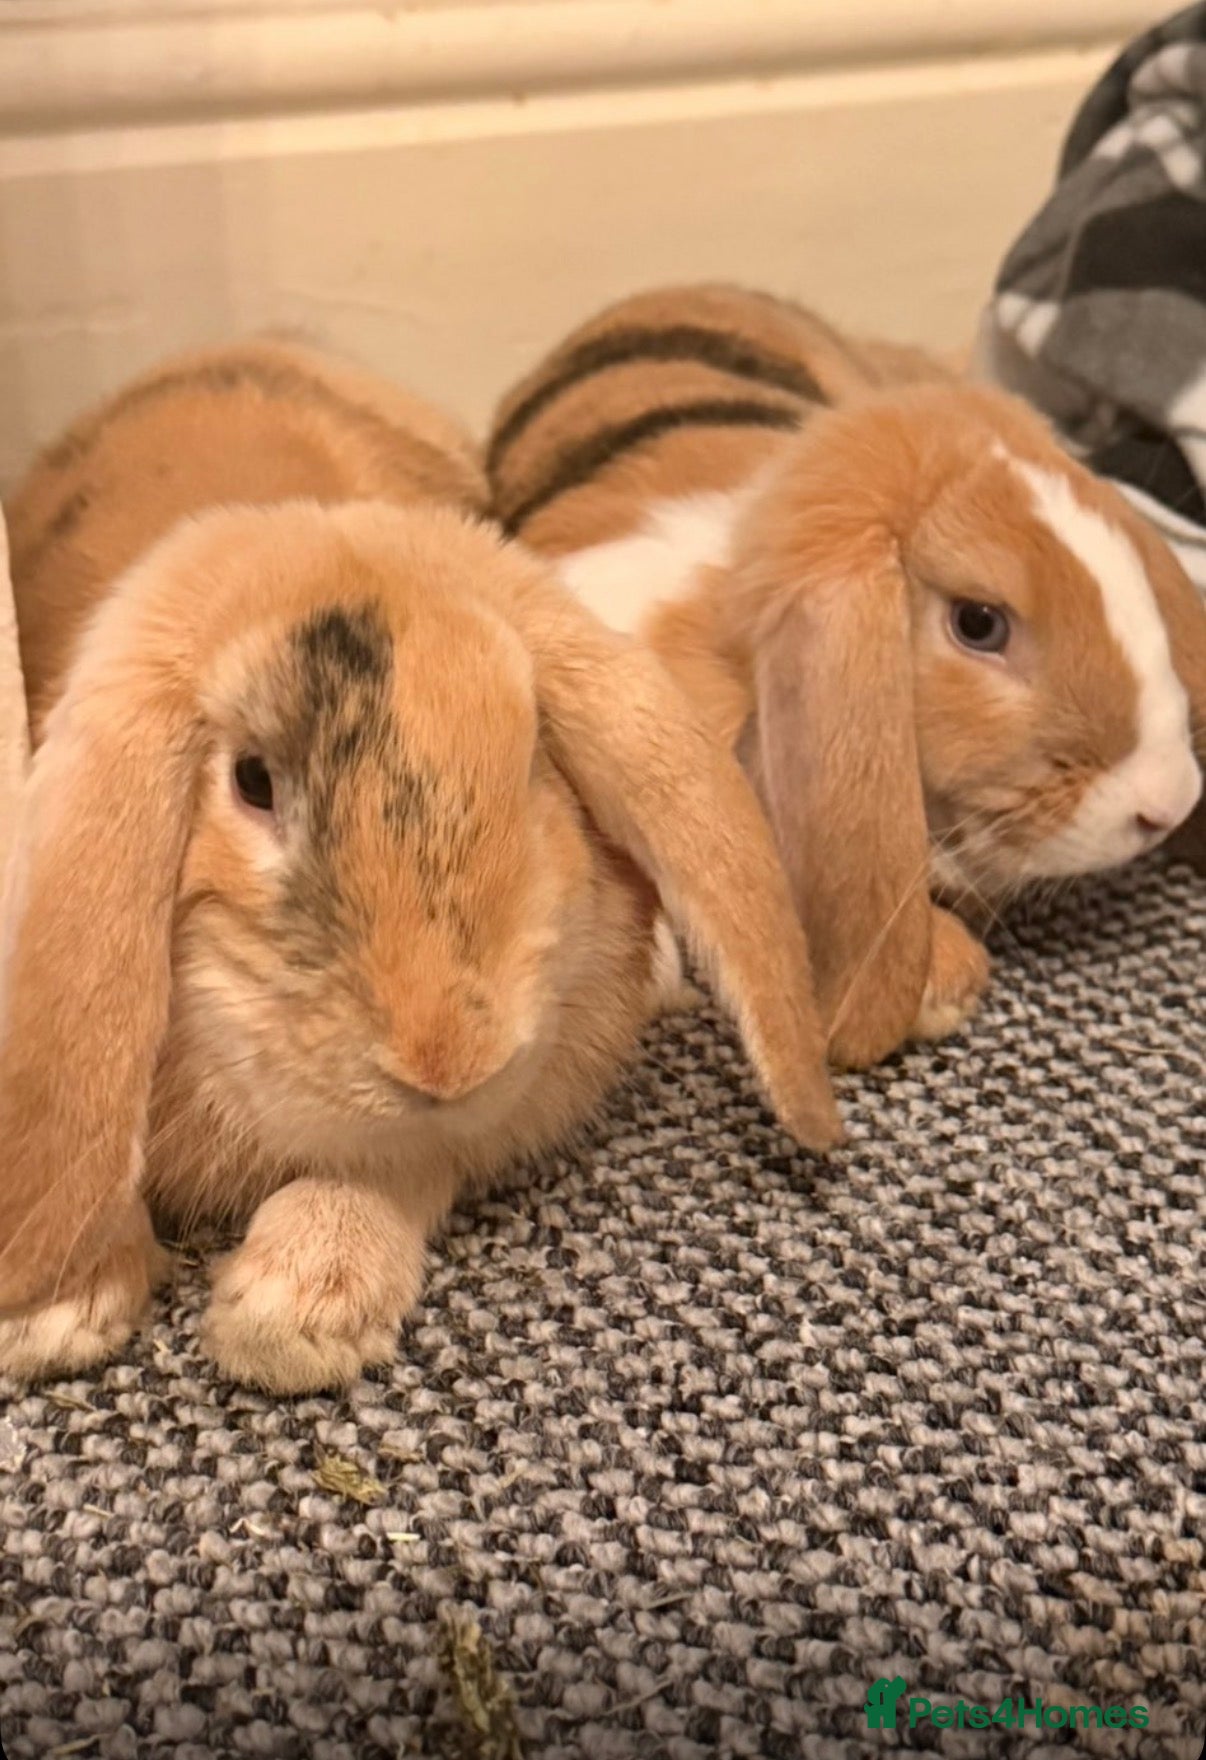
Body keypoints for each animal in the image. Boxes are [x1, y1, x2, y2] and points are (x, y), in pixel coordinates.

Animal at [0, 340, 840, 1394]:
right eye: (251, 781)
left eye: (534, 759)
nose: (448, 1058)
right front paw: (56, 1311)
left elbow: (401, 1167)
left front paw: (292, 1312)